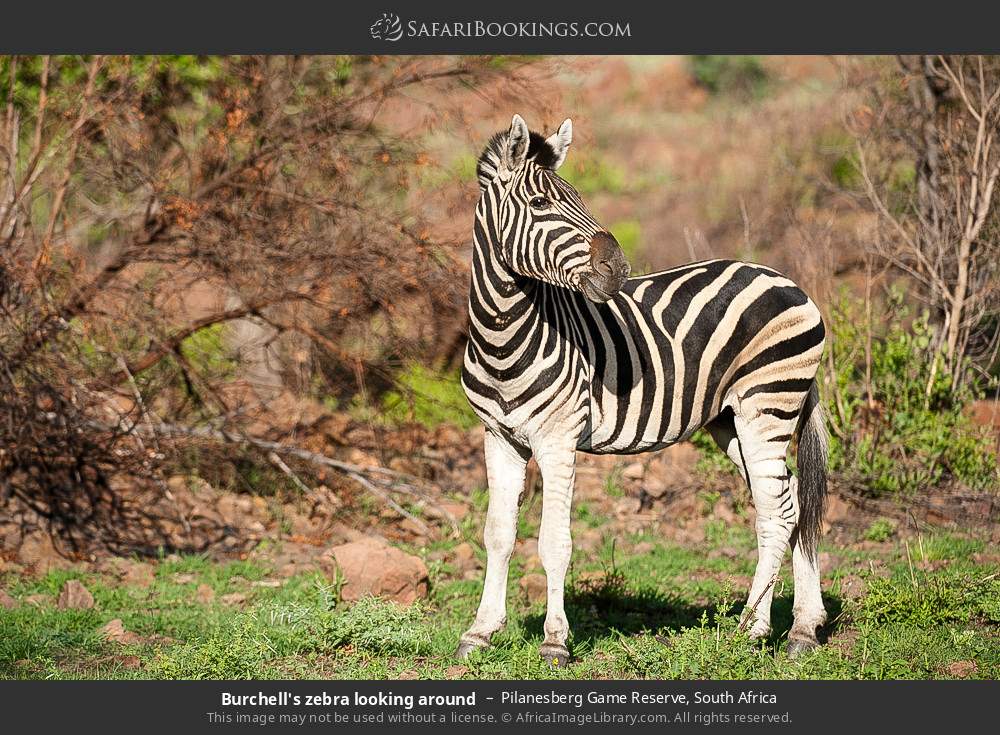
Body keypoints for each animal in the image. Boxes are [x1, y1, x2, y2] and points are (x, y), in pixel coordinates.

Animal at [456, 114, 829, 666]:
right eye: (541, 203)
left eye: (577, 197)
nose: (618, 269)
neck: (503, 337)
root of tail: (785, 279)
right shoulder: (499, 437)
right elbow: (498, 534)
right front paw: (481, 632)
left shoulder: (557, 439)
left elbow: (554, 543)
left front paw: (554, 641)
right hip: (732, 421)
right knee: (791, 504)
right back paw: (803, 628)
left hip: (769, 404)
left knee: (778, 511)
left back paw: (752, 628)